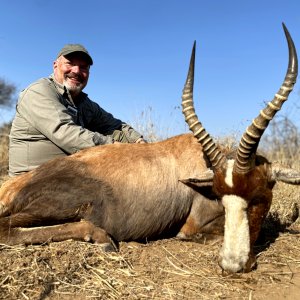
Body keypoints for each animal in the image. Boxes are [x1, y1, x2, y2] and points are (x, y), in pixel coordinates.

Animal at [0, 22, 300, 274]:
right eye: (220, 197)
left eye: (258, 196)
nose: (232, 265)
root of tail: (13, 187)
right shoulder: (192, 228)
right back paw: (101, 237)